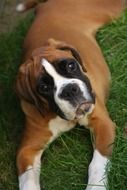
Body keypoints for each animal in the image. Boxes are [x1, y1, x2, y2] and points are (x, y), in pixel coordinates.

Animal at [15, 0, 125, 190]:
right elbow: (27, 180)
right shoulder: (27, 150)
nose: (69, 90)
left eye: (71, 66)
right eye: (44, 87)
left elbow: (97, 164)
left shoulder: (102, 123)